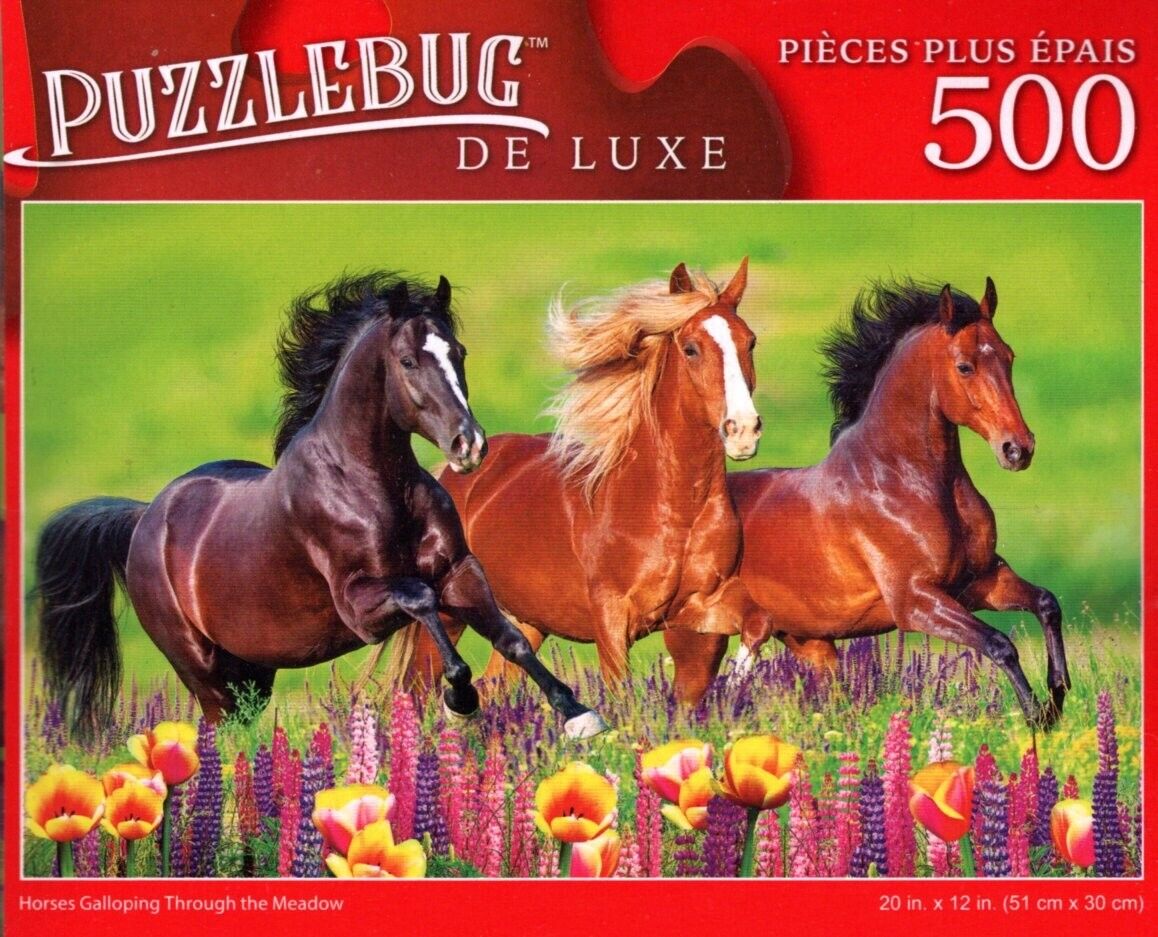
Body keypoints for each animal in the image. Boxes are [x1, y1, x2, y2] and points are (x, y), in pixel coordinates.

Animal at [35, 271, 605, 740]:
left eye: (458, 352)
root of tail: (143, 518)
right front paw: (460, 699)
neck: (373, 486)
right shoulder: (361, 608)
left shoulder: (460, 571)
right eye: (407, 360)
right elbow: (422, 599)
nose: (470, 446)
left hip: (252, 673)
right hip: (203, 671)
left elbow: (511, 638)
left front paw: (579, 715)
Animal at [402, 260, 764, 703]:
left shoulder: (703, 604)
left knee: (494, 685)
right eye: (691, 348)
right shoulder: (611, 617)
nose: (743, 430)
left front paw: (733, 686)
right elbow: (621, 692)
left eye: (749, 342)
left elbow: (755, 625)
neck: (672, 507)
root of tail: (449, 476)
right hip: (448, 612)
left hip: (525, 621)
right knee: (418, 687)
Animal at [674, 278, 1070, 729]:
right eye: (965, 366)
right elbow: (1000, 643)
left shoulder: (980, 581)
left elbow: (1047, 603)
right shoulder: (915, 602)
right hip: (699, 642)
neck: (903, 481)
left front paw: (1057, 695)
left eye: (1008, 357)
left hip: (806, 642)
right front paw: (1037, 717)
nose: (1018, 449)